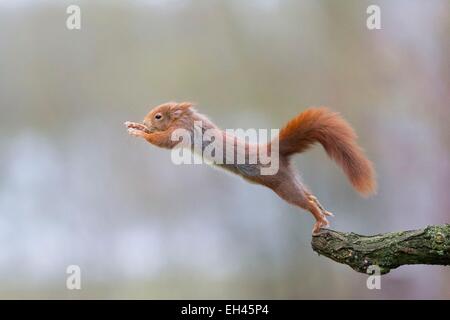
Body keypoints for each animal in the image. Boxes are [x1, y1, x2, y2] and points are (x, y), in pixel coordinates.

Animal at [125, 102, 374, 235]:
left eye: (158, 115)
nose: (145, 121)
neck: (186, 117)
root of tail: (274, 152)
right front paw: (136, 126)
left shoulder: (183, 130)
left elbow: (163, 141)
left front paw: (139, 132)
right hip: (291, 178)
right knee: (308, 193)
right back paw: (322, 209)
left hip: (282, 185)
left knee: (305, 201)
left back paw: (319, 218)